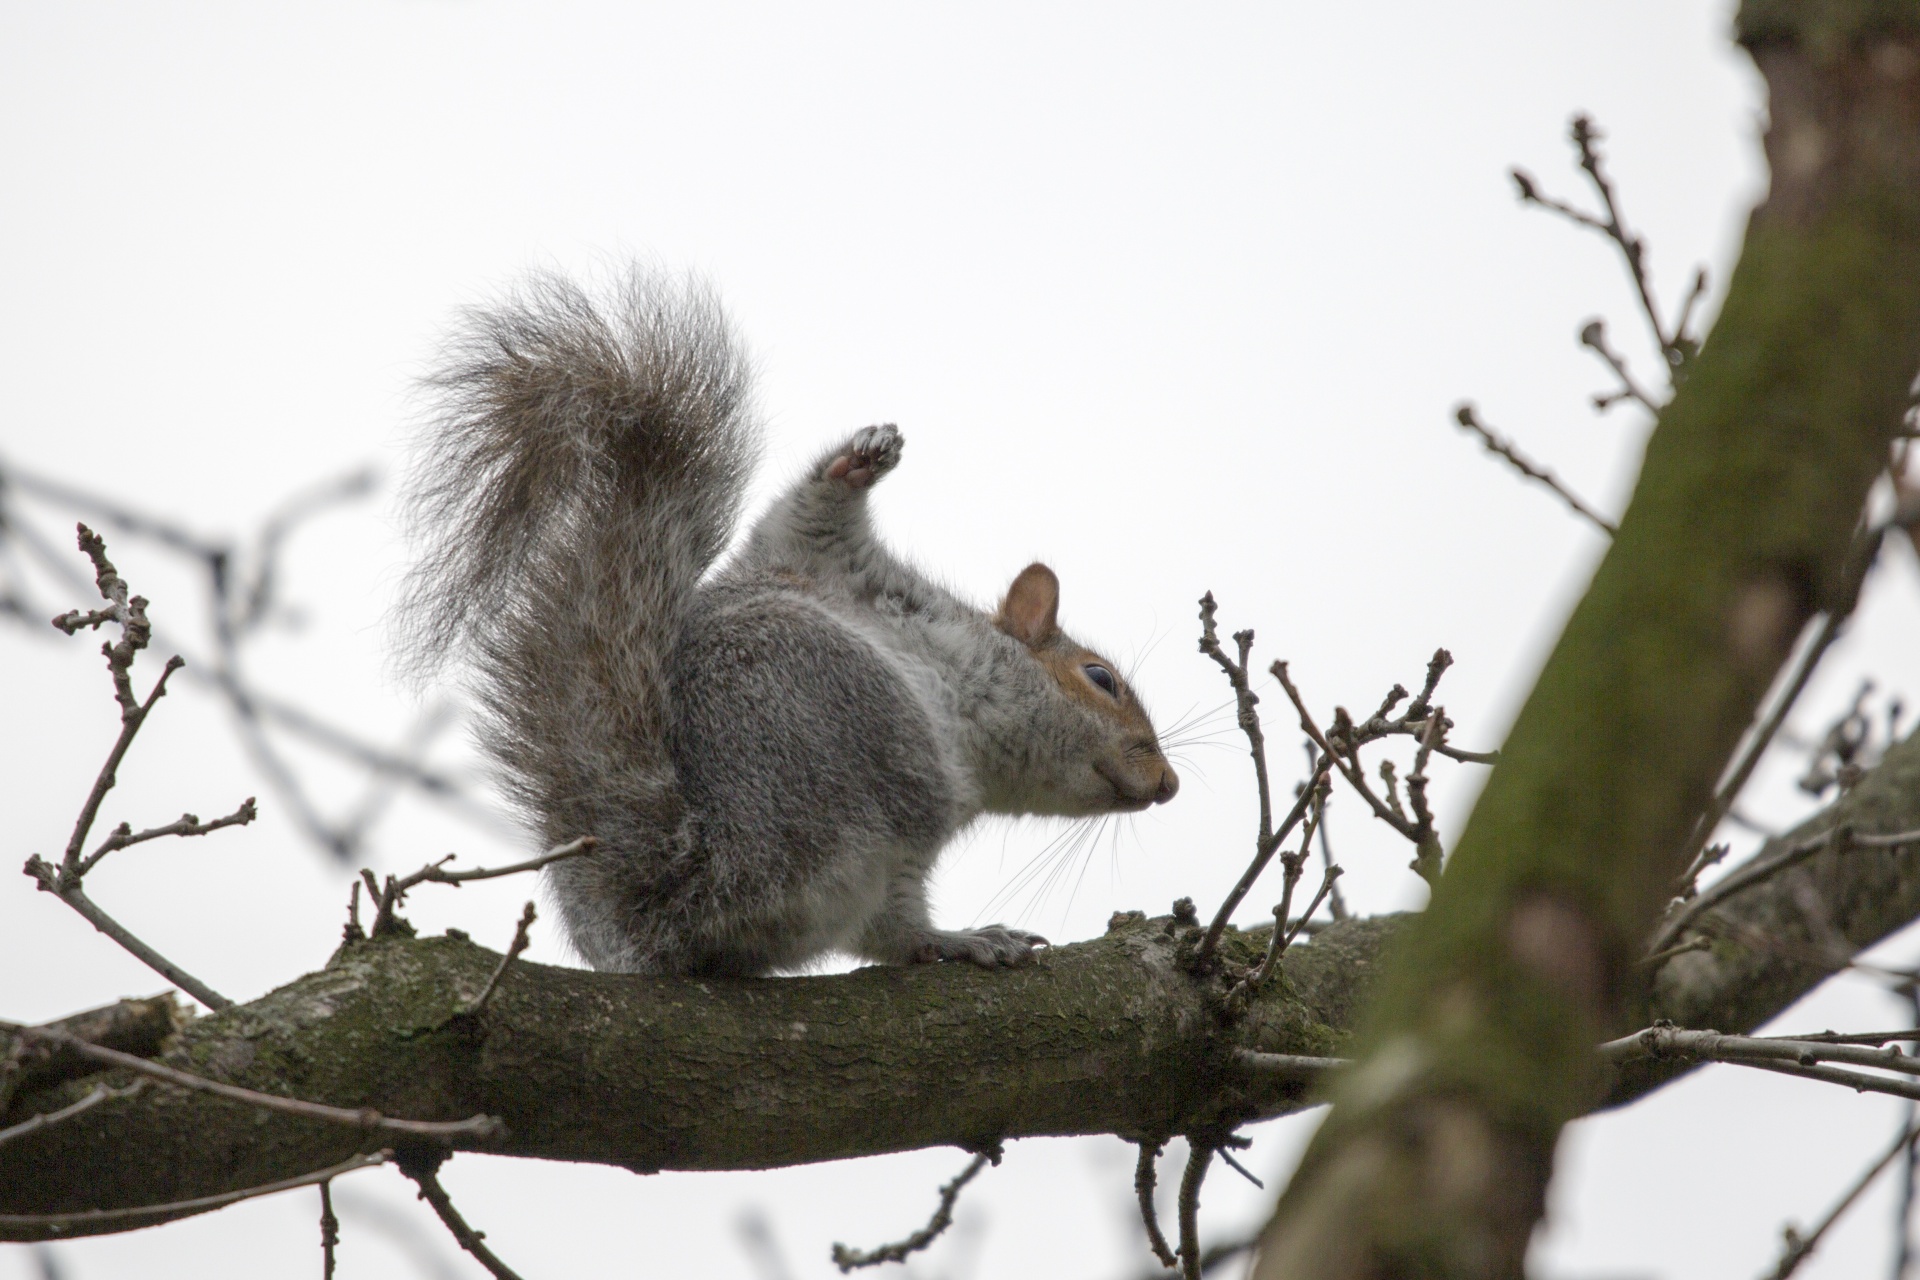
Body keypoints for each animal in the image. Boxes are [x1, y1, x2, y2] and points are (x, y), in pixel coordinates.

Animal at [403, 264, 1175, 974]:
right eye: (1101, 678)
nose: (1167, 783)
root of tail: (685, 885)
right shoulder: (822, 563)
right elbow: (806, 516)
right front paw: (859, 458)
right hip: (858, 714)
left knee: (882, 932)